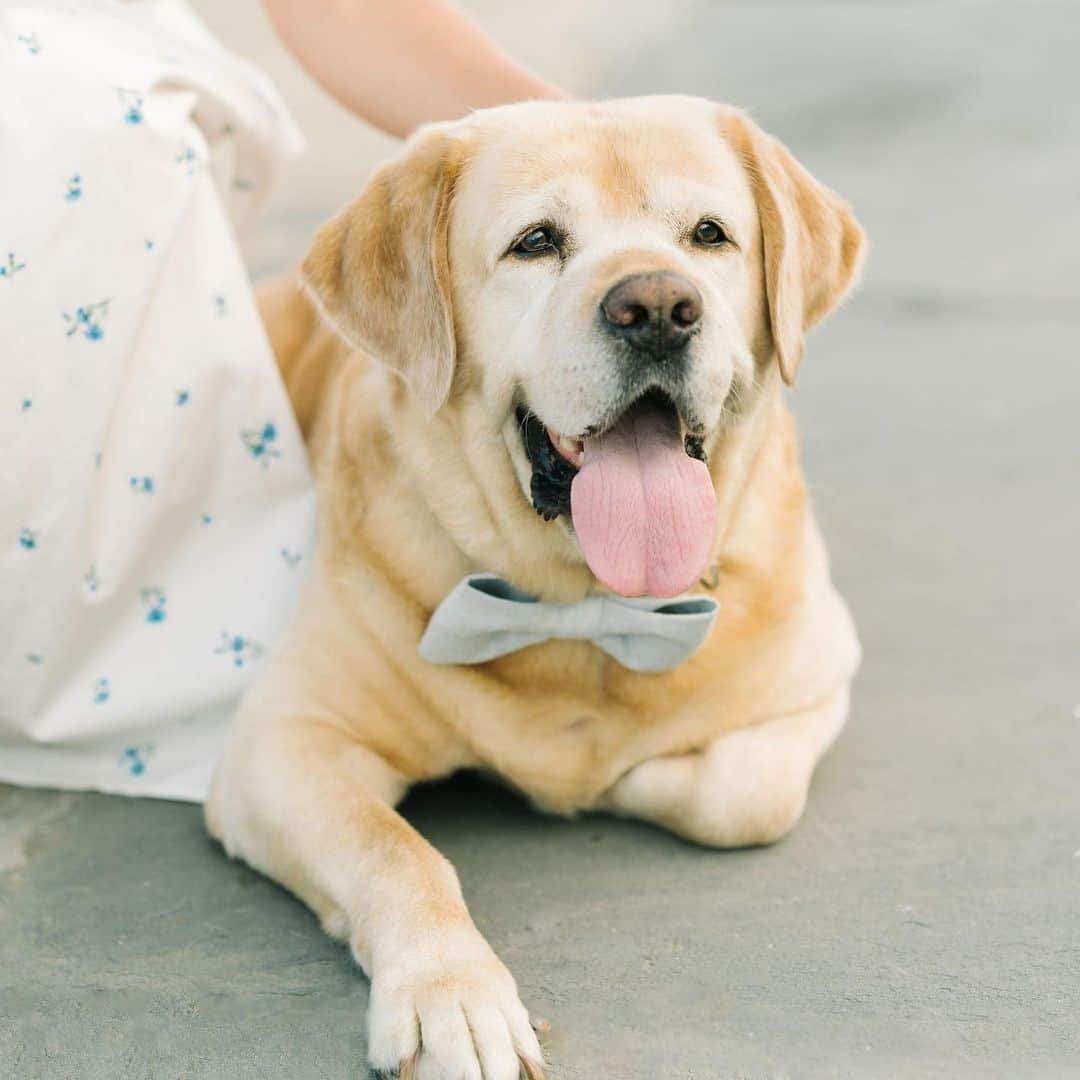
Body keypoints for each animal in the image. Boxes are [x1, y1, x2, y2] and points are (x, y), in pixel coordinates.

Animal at [206, 99, 864, 1080]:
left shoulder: (820, 669)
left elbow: (741, 797)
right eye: (536, 242)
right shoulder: (282, 745)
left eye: (709, 235)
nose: (657, 308)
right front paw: (451, 997)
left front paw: (609, 780)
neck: (587, 604)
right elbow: (397, 853)